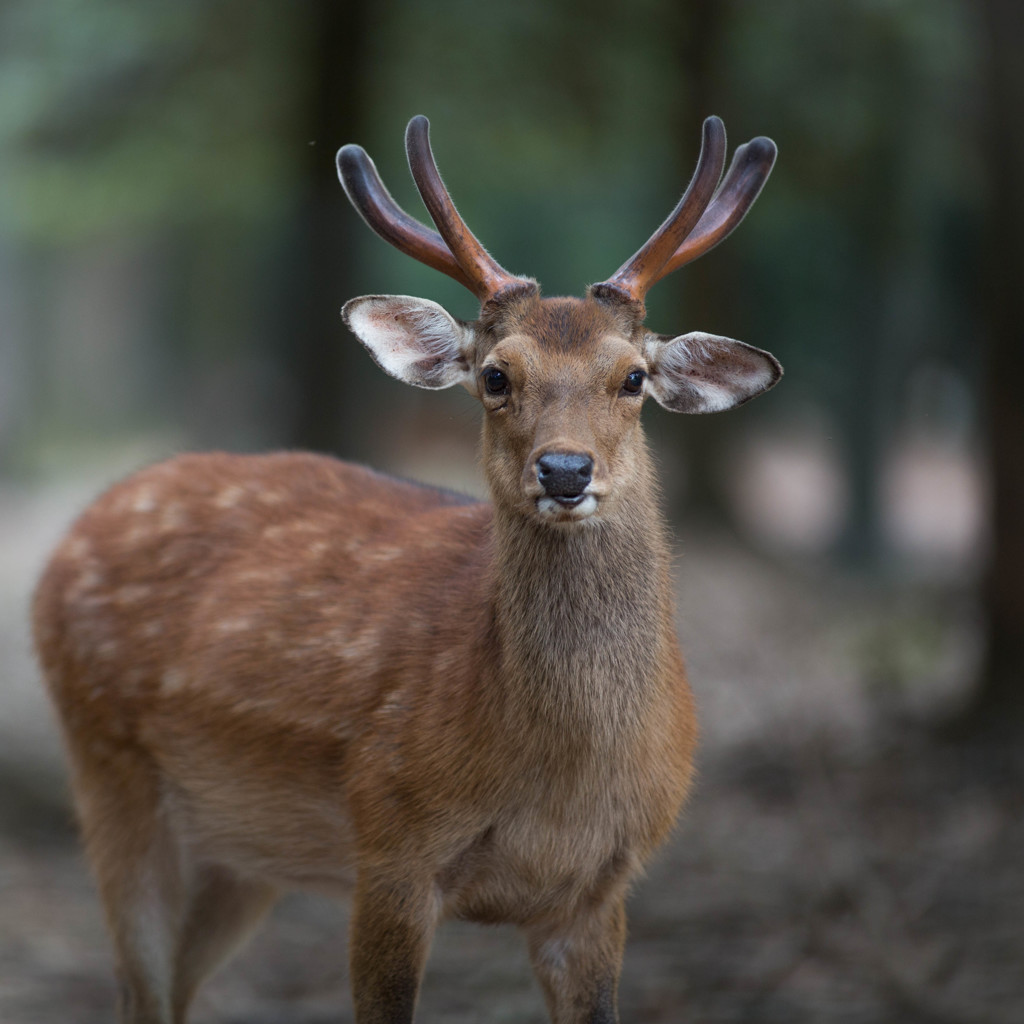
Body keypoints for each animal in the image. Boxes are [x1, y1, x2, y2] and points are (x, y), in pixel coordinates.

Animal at [34, 114, 782, 1024]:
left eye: (632, 377)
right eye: (496, 375)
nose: (565, 470)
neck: (557, 785)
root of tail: (77, 528)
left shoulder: (602, 890)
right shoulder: (390, 843)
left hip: (240, 852)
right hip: (106, 766)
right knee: (138, 985)